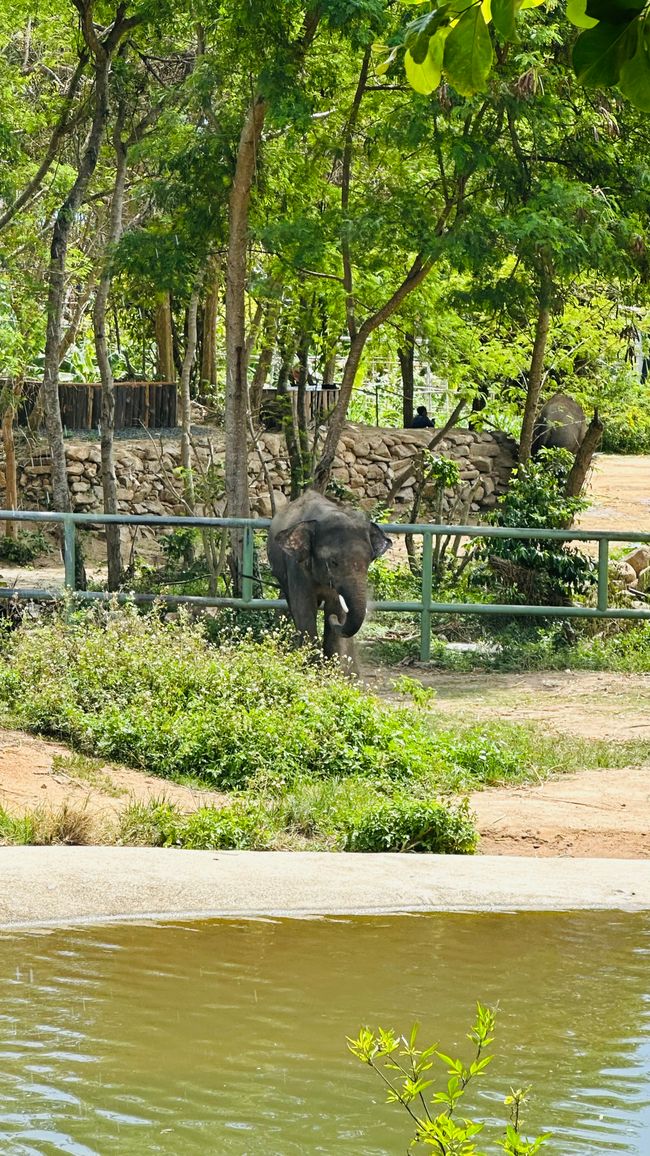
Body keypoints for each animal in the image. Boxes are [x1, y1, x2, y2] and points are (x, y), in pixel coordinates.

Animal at [267, 490, 392, 663]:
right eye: (333, 562)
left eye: (369, 561)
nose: (334, 620)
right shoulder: (297, 565)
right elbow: (304, 608)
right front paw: (312, 665)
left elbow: (335, 605)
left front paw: (331, 665)